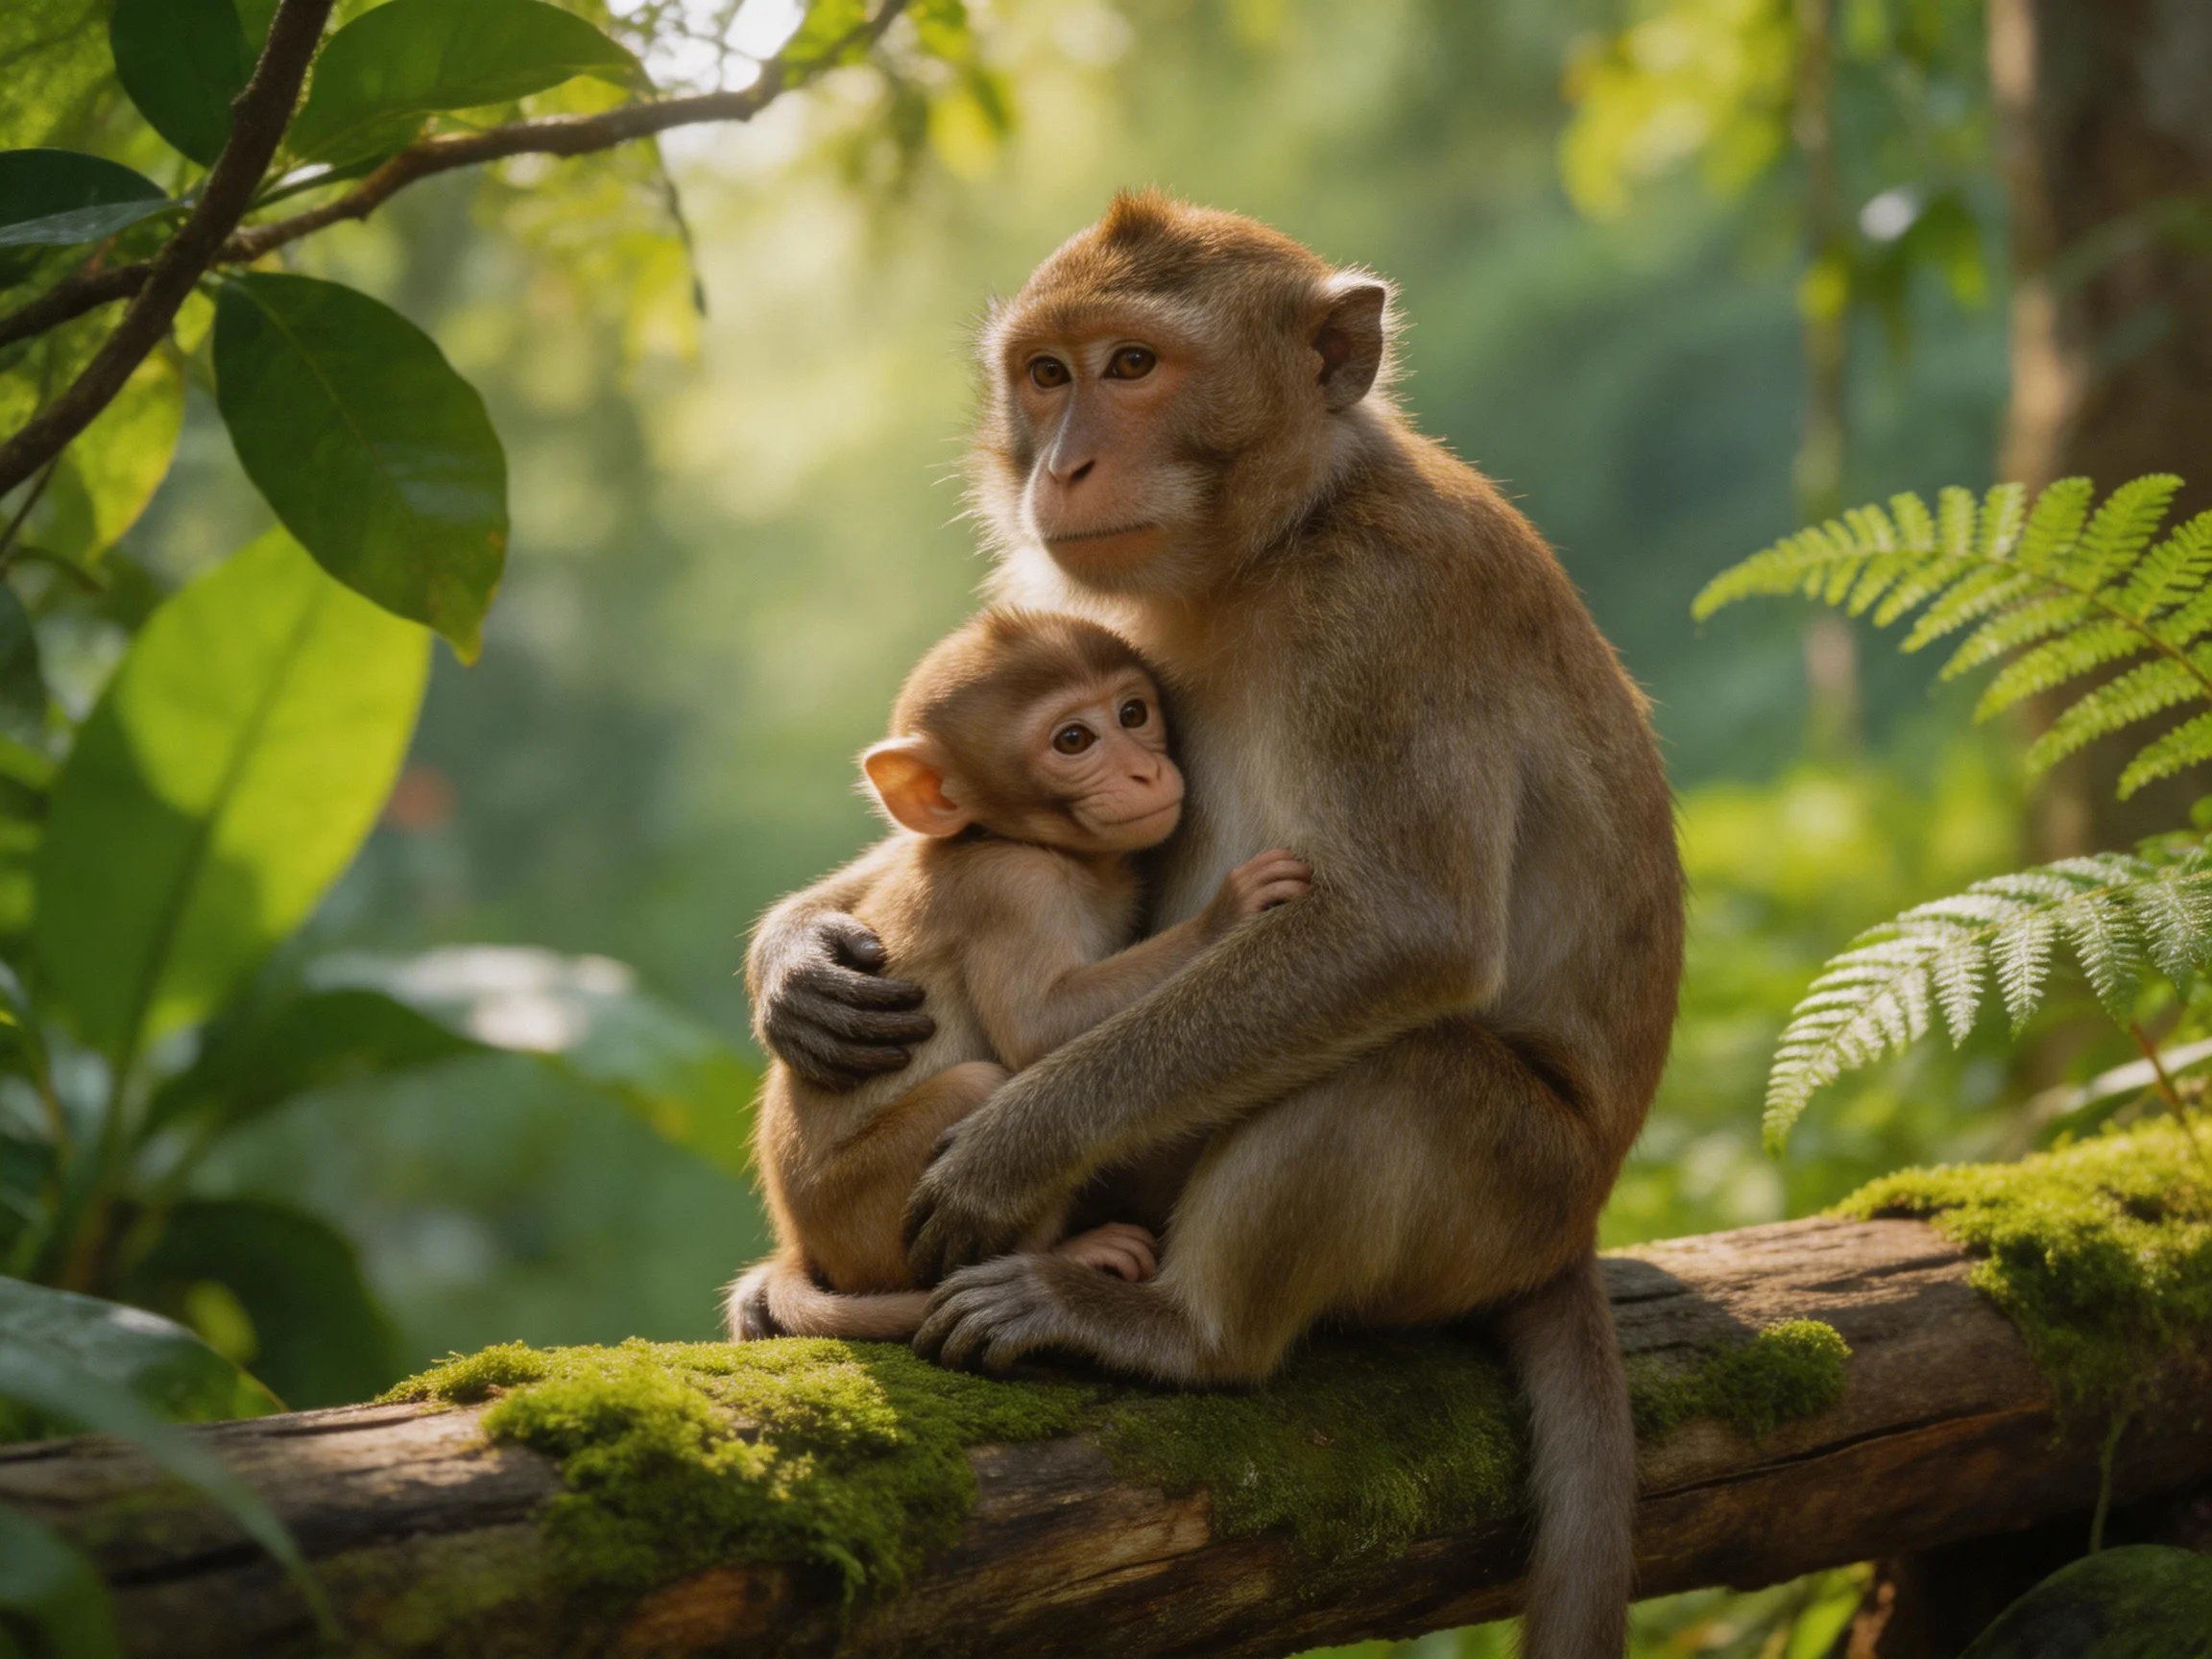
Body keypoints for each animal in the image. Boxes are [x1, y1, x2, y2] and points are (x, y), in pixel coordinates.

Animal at [729, 606, 1311, 1344]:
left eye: (1133, 713)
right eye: (1073, 740)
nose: (1145, 772)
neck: (1011, 837)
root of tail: (811, 1244)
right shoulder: (1013, 889)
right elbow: (1038, 1029)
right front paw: (1229, 911)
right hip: (863, 1217)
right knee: (979, 1085)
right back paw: (1067, 1259)